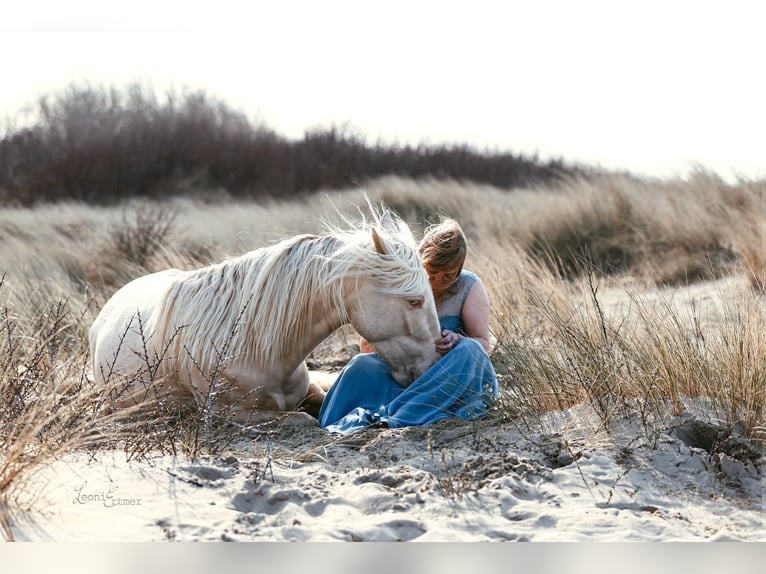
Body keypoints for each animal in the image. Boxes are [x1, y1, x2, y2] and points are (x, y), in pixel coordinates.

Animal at [87, 209, 440, 426]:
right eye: (414, 300)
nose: (431, 366)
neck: (254, 347)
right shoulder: (226, 415)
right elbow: (305, 420)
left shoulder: (308, 392)